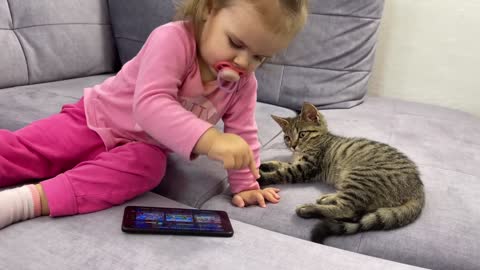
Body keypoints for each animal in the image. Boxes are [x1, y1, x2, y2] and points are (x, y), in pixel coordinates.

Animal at [258, 102, 424, 244]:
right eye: (287, 137)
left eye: (302, 134)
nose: (292, 146)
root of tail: (418, 188)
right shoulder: (296, 163)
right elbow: (279, 164)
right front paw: (262, 164)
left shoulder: (306, 167)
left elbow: (281, 173)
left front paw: (261, 177)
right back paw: (327, 198)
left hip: (360, 176)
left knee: (347, 210)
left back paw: (309, 209)